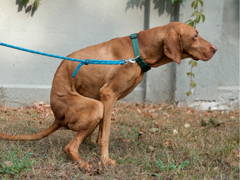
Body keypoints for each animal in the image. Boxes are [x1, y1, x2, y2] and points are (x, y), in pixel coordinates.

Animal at [0, 21, 218, 171]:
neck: (139, 51)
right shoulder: (108, 95)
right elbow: (106, 135)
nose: (215, 49)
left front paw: (98, 148)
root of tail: (57, 117)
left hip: (95, 105)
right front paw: (104, 160)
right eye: (195, 36)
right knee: (69, 147)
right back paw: (84, 164)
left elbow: (102, 131)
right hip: (94, 106)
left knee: (83, 136)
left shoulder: (107, 99)